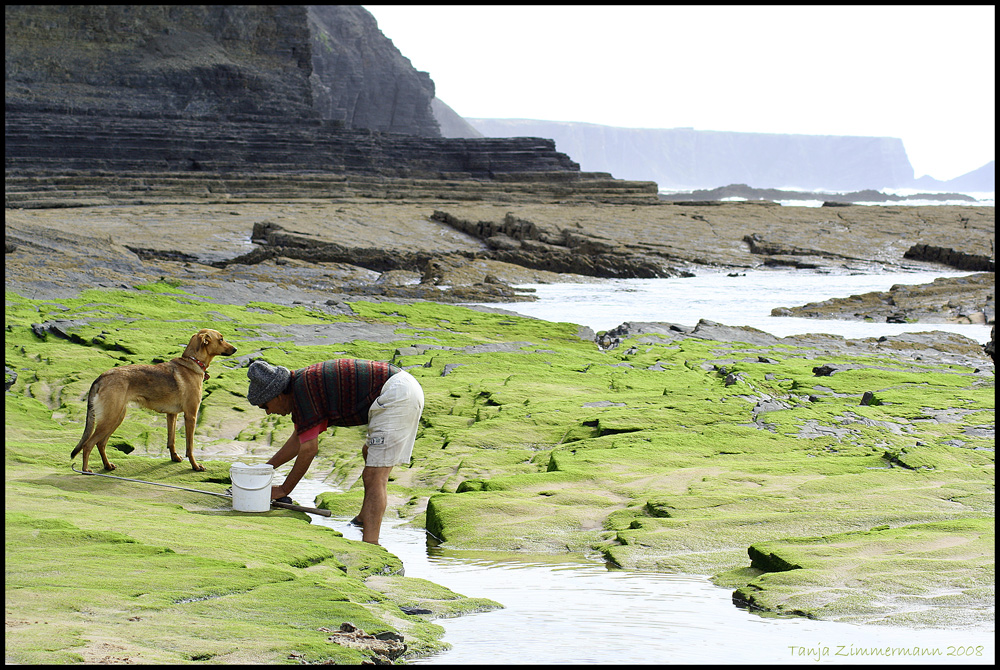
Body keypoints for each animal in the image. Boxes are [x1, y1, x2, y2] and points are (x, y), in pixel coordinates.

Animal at [70, 330, 238, 472]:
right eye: (221, 339)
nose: (235, 349)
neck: (193, 362)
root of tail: (101, 377)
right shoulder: (191, 415)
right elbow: (189, 447)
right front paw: (195, 466)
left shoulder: (172, 415)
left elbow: (171, 441)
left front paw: (175, 458)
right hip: (110, 418)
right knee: (88, 444)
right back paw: (86, 470)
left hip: (116, 417)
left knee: (101, 443)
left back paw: (107, 465)